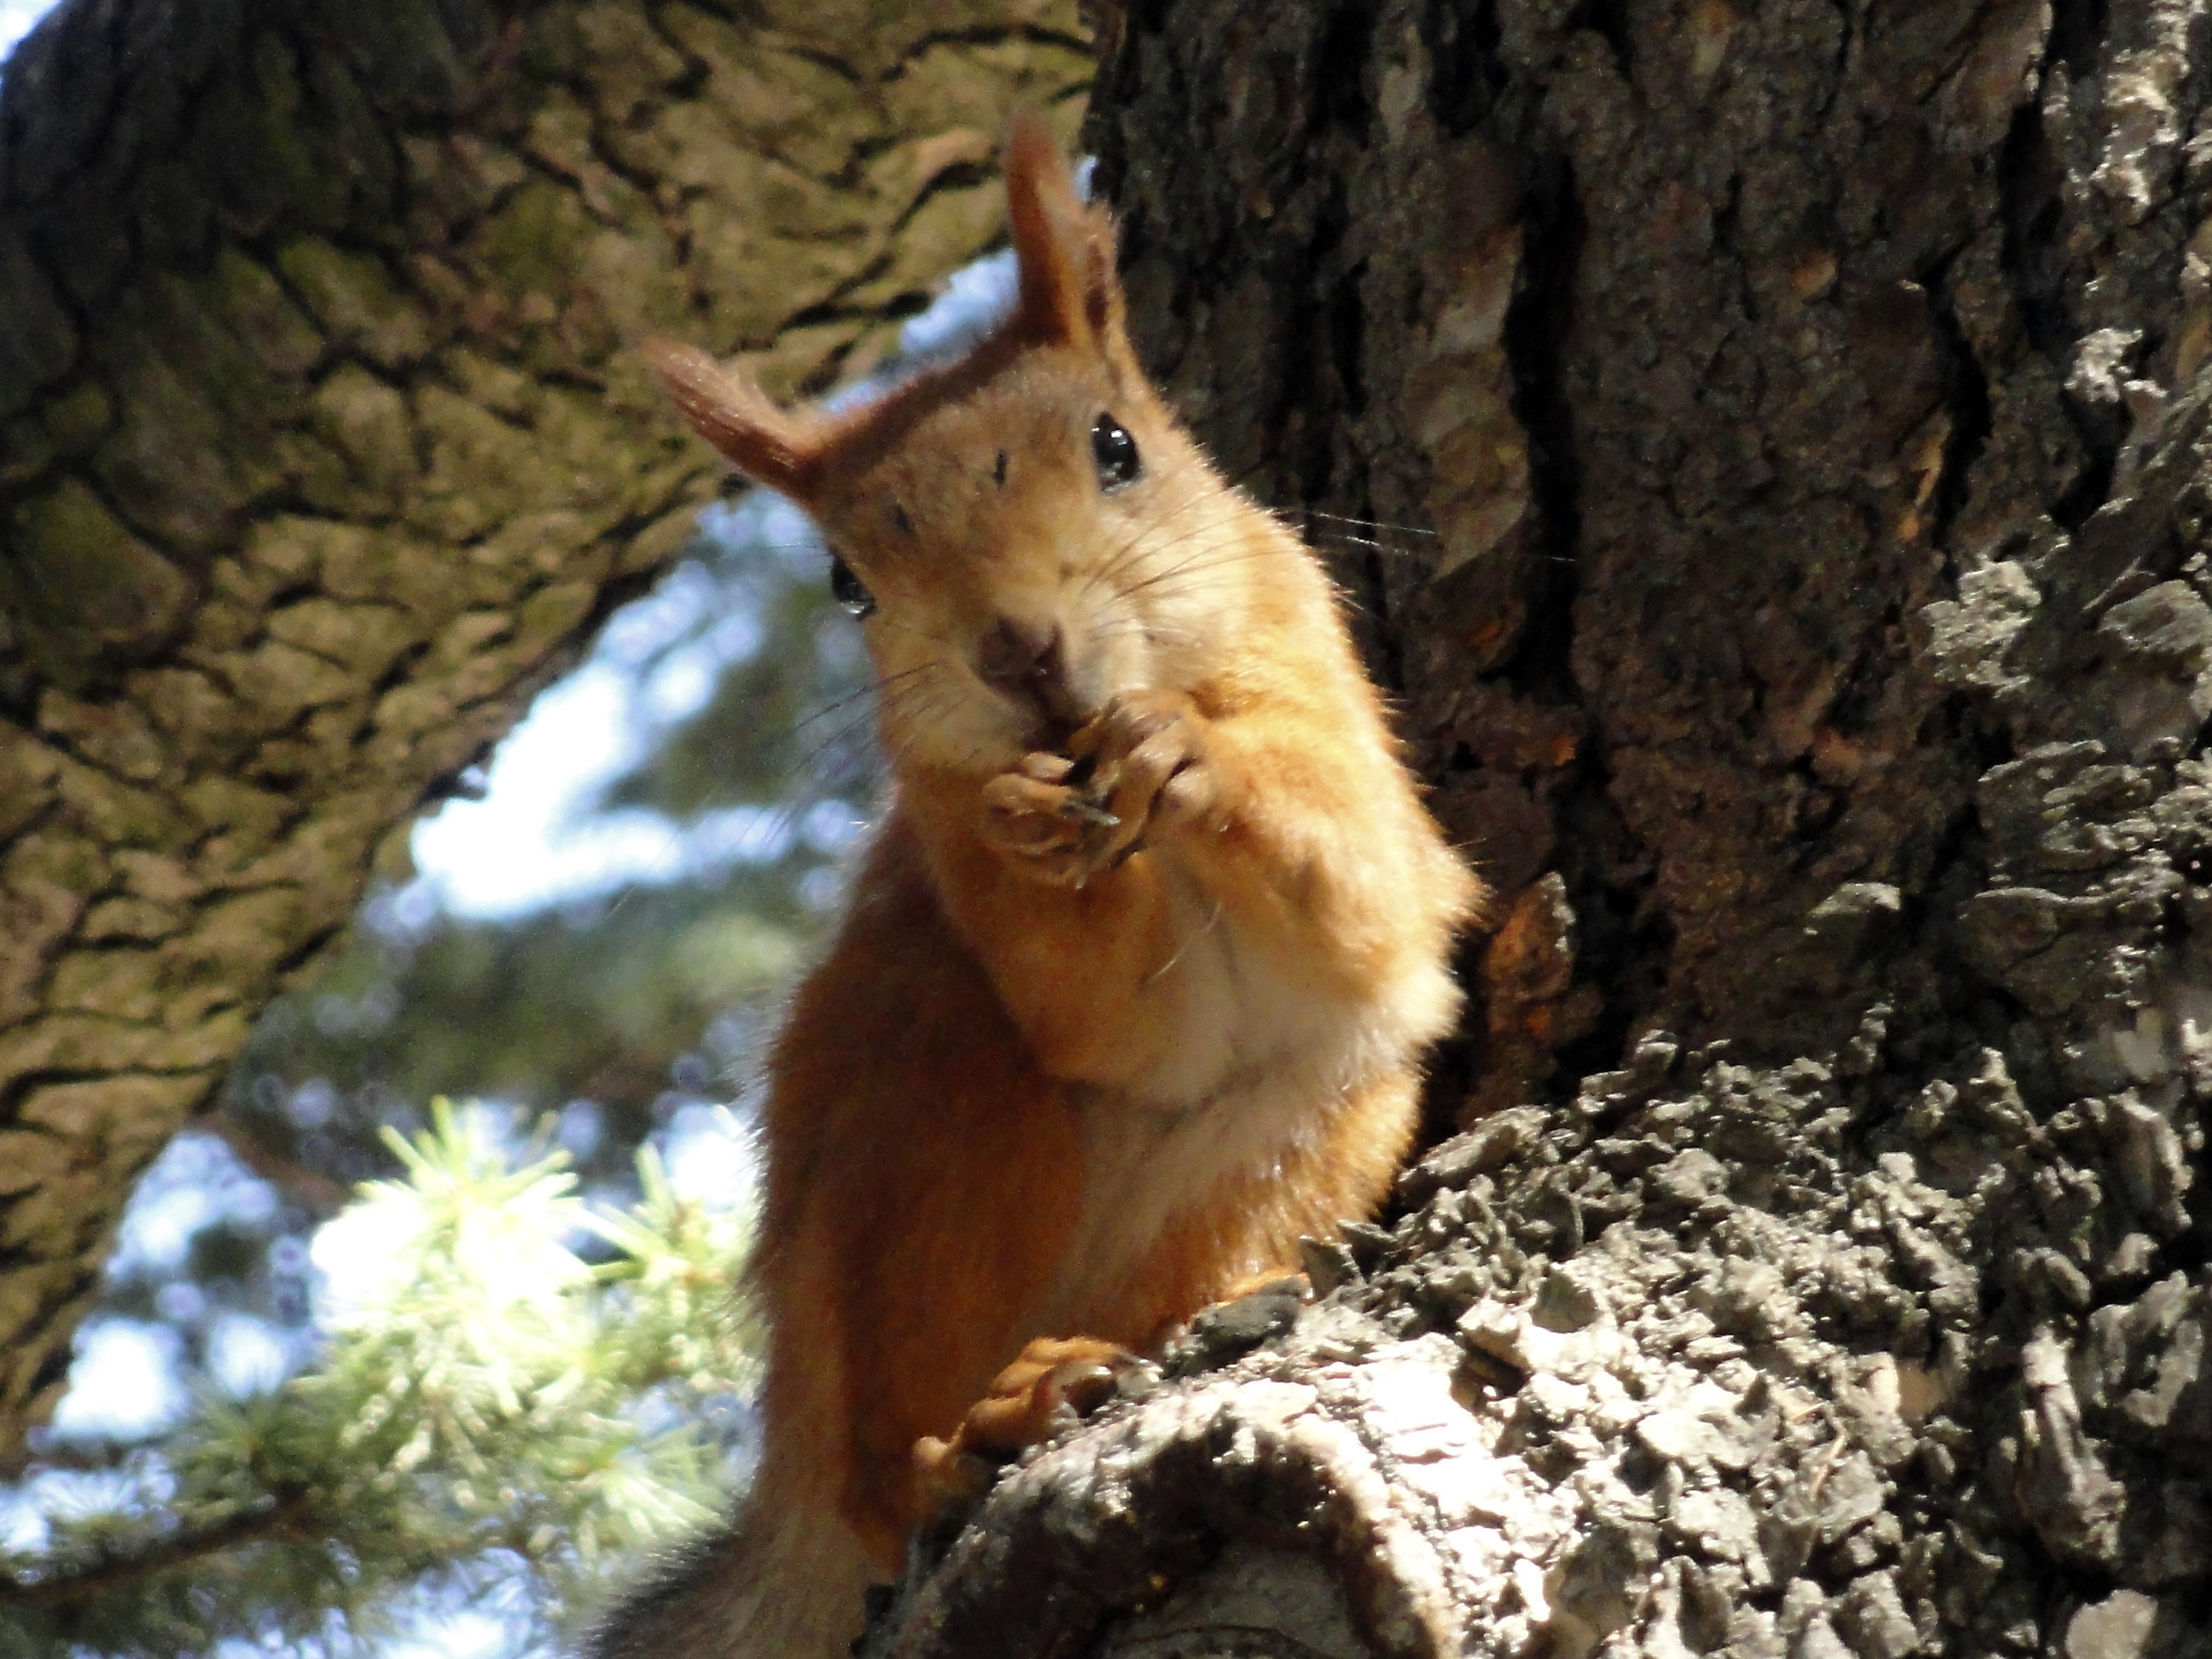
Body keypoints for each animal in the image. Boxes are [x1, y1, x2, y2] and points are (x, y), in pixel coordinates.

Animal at [597, 117, 1477, 1659]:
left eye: (1115, 448)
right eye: (847, 580)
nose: (1017, 646)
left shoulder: (1347, 742)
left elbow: (1363, 899)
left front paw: (1192, 750)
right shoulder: (972, 863)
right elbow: (1106, 1022)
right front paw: (1027, 829)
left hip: (1302, 1135)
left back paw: (1121, 1346)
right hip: (929, 1140)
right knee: (893, 1459)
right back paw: (987, 1422)